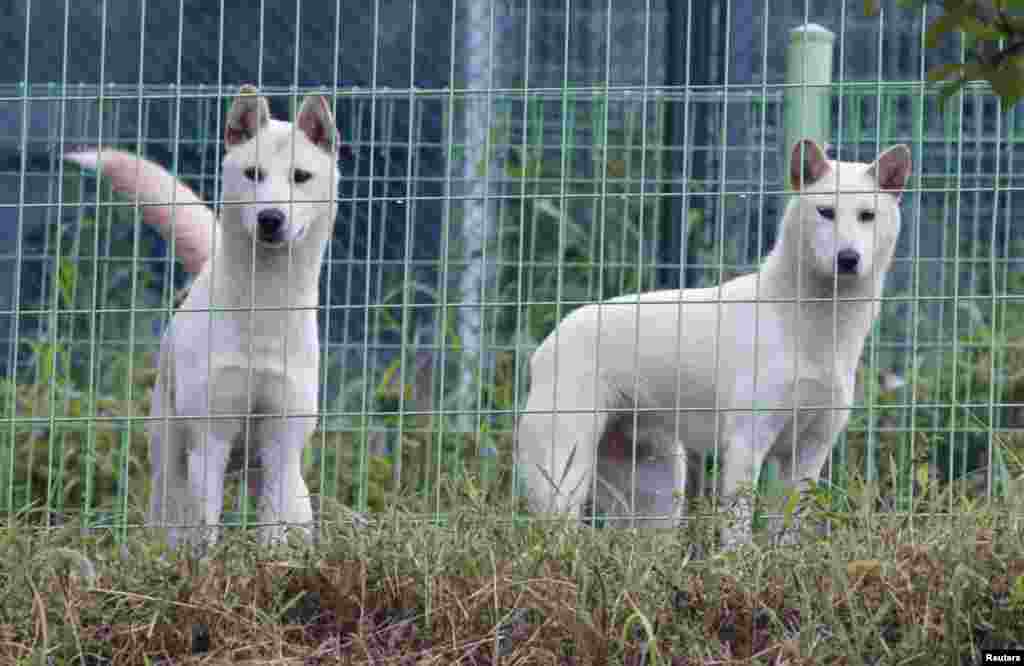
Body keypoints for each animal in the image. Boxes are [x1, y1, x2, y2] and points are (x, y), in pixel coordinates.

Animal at [68, 87, 342, 545]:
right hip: (170, 464)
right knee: (172, 516)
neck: (262, 306)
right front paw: (204, 563)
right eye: (253, 174)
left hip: (290, 487)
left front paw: (272, 560)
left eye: (300, 177)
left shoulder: (280, 441)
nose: (271, 218)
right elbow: (205, 528)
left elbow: (270, 531)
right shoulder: (210, 438)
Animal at [520, 138, 913, 545]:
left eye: (867, 216)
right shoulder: (745, 444)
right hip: (564, 479)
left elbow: (788, 529)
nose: (848, 258)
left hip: (656, 495)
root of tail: (548, 344)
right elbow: (737, 530)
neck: (809, 327)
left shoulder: (808, 453)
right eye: (826, 212)